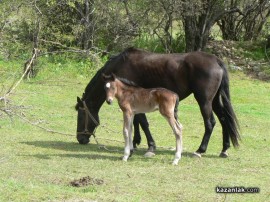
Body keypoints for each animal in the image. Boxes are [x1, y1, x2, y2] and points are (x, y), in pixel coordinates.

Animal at [75, 47, 240, 158]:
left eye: (80, 115)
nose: (80, 139)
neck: (121, 66)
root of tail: (217, 61)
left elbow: (143, 123)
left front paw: (150, 147)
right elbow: (137, 122)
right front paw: (135, 142)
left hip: (204, 101)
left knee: (210, 122)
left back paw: (200, 150)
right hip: (214, 101)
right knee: (224, 119)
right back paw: (224, 150)